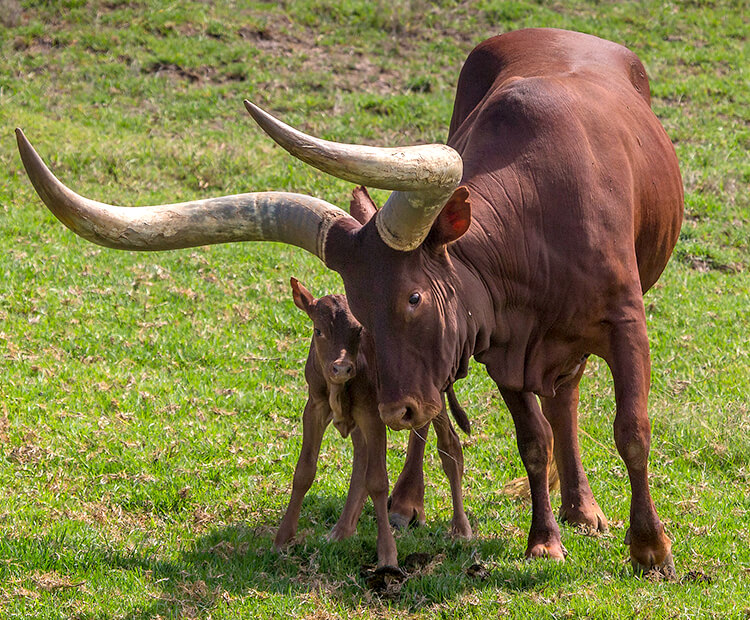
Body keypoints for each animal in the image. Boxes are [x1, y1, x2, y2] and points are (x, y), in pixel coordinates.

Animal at [276, 280, 472, 568]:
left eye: (358, 331)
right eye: (318, 330)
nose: (341, 367)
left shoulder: (372, 414)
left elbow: (378, 481)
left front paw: (387, 555)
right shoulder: (315, 407)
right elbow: (304, 471)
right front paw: (283, 537)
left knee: (450, 446)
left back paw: (461, 529)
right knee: (361, 458)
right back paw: (342, 530)